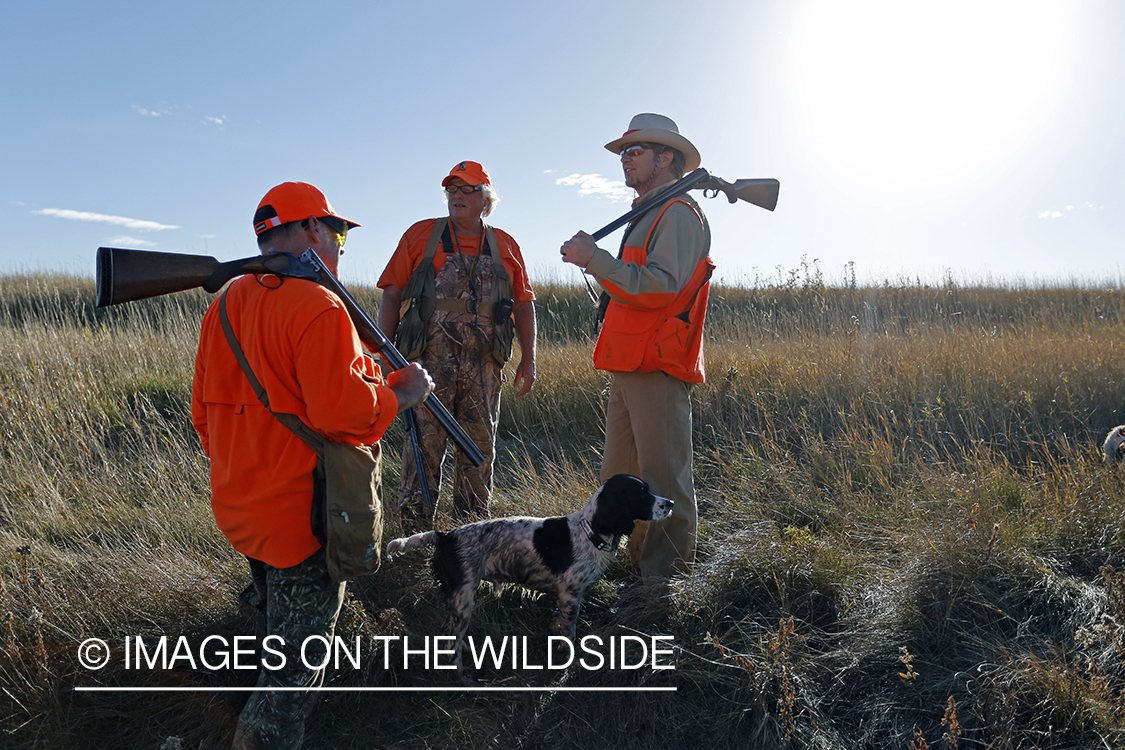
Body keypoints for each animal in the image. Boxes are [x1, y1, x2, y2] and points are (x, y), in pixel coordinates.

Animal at [387, 474, 670, 674]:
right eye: (642, 493)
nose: (671, 503)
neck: (589, 531)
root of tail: (446, 536)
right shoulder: (571, 595)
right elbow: (569, 634)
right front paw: (569, 661)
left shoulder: (565, 598)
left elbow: (559, 625)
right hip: (463, 597)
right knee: (451, 642)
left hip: (457, 598)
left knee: (449, 631)